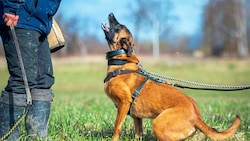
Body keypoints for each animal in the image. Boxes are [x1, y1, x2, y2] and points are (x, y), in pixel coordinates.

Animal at [101, 12, 240, 140]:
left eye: (119, 26)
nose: (111, 14)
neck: (122, 61)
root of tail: (197, 116)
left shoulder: (124, 103)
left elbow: (117, 127)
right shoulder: (137, 117)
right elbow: (138, 133)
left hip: (158, 124)